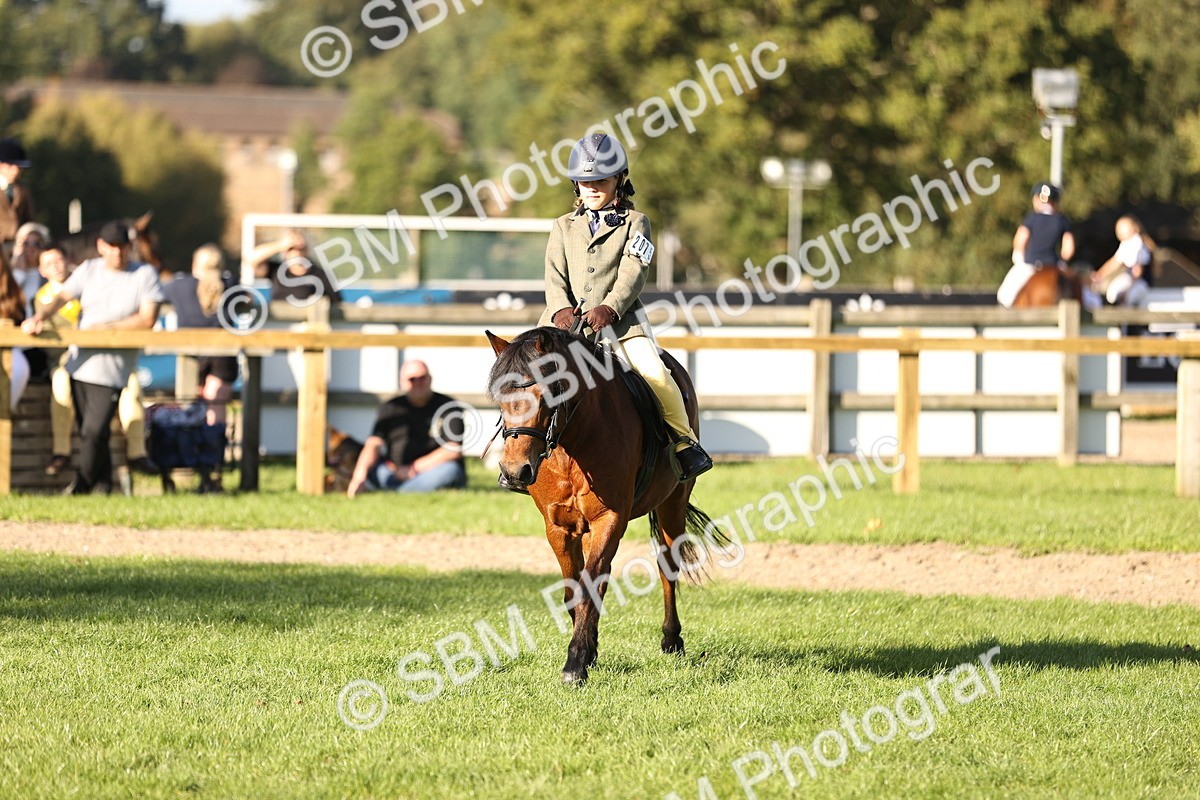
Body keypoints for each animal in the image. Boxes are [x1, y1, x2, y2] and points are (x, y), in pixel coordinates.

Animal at [485, 326, 722, 685]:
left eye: (546, 396)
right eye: (500, 398)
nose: (514, 472)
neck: (573, 444)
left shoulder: (609, 519)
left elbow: (589, 588)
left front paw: (575, 664)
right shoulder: (559, 528)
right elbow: (574, 592)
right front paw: (587, 653)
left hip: (673, 502)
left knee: (667, 566)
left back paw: (672, 640)